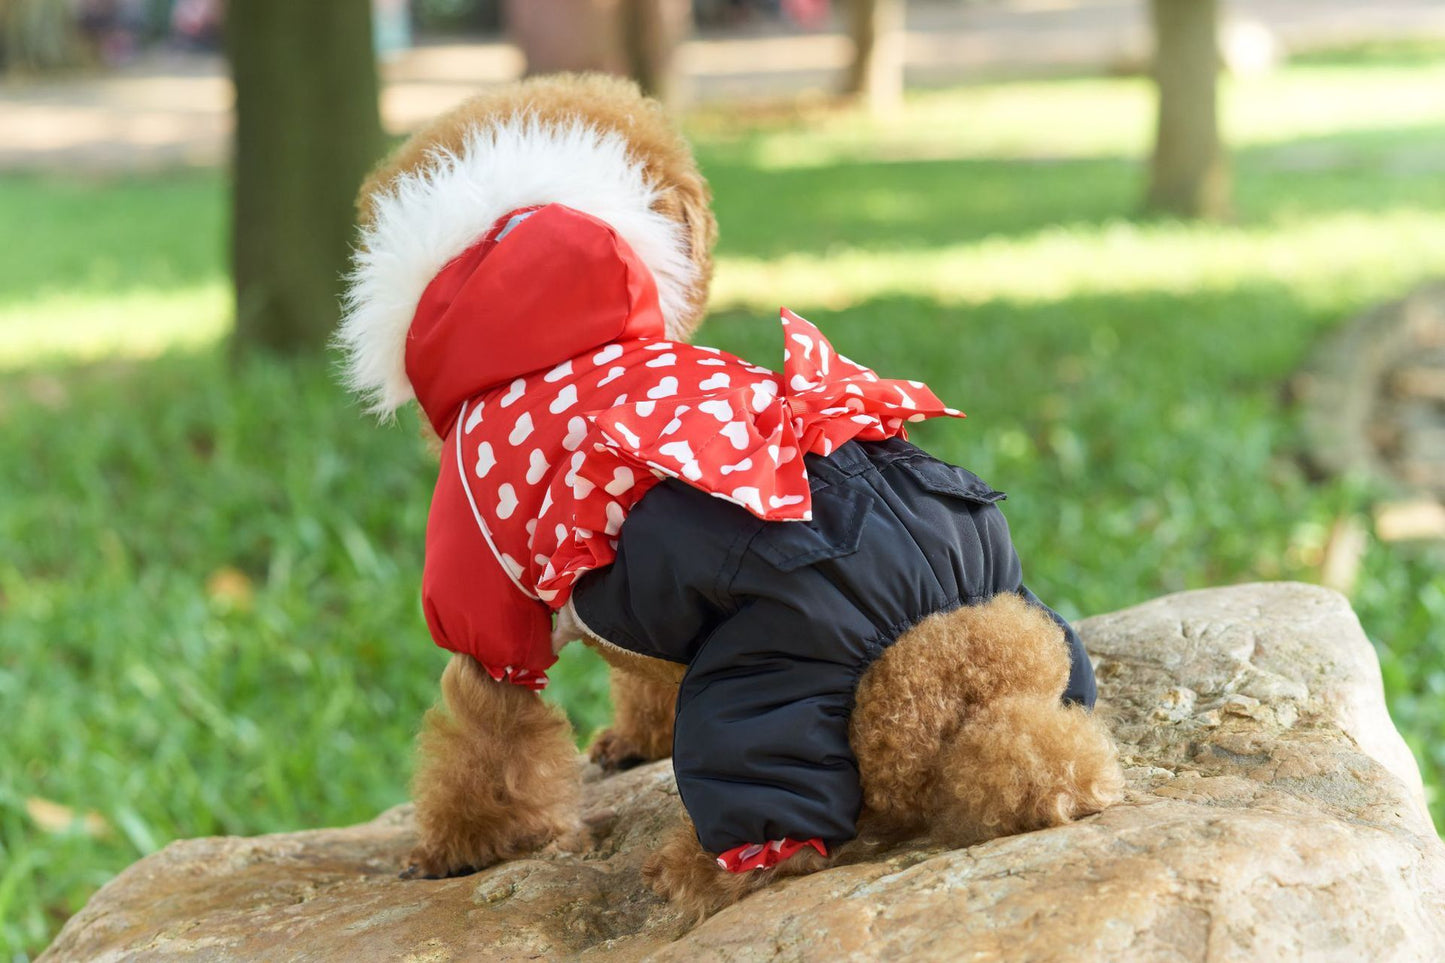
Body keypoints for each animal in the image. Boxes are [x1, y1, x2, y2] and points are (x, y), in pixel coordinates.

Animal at [343, 71, 1121, 913]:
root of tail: (947, 647)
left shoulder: (491, 605)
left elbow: (485, 739)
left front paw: (465, 847)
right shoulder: (635, 607)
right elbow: (633, 678)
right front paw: (635, 743)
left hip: (756, 694)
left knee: (783, 847)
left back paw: (688, 869)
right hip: (1040, 642)